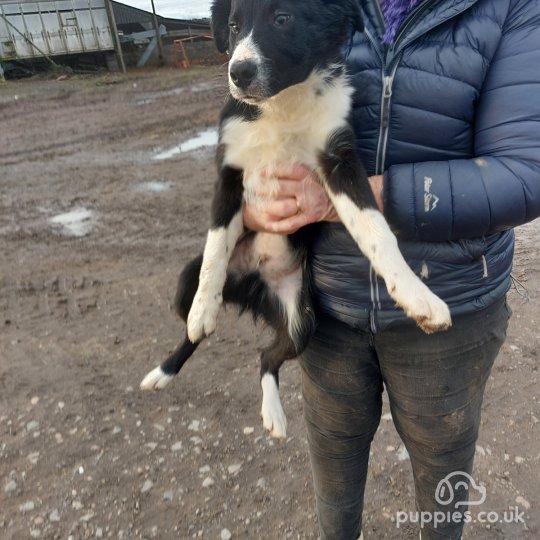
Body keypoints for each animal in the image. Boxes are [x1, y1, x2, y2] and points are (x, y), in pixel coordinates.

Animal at [140, 0, 452, 438]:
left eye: (282, 19)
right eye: (233, 26)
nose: (239, 73)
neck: (282, 103)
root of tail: (255, 281)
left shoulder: (338, 160)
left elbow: (375, 230)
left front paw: (416, 295)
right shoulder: (230, 174)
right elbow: (216, 247)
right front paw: (204, 308)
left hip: (303, 320)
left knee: (266, 357)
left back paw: (273, 413)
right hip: (186, 281)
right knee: (192, 331)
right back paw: (167, 367)